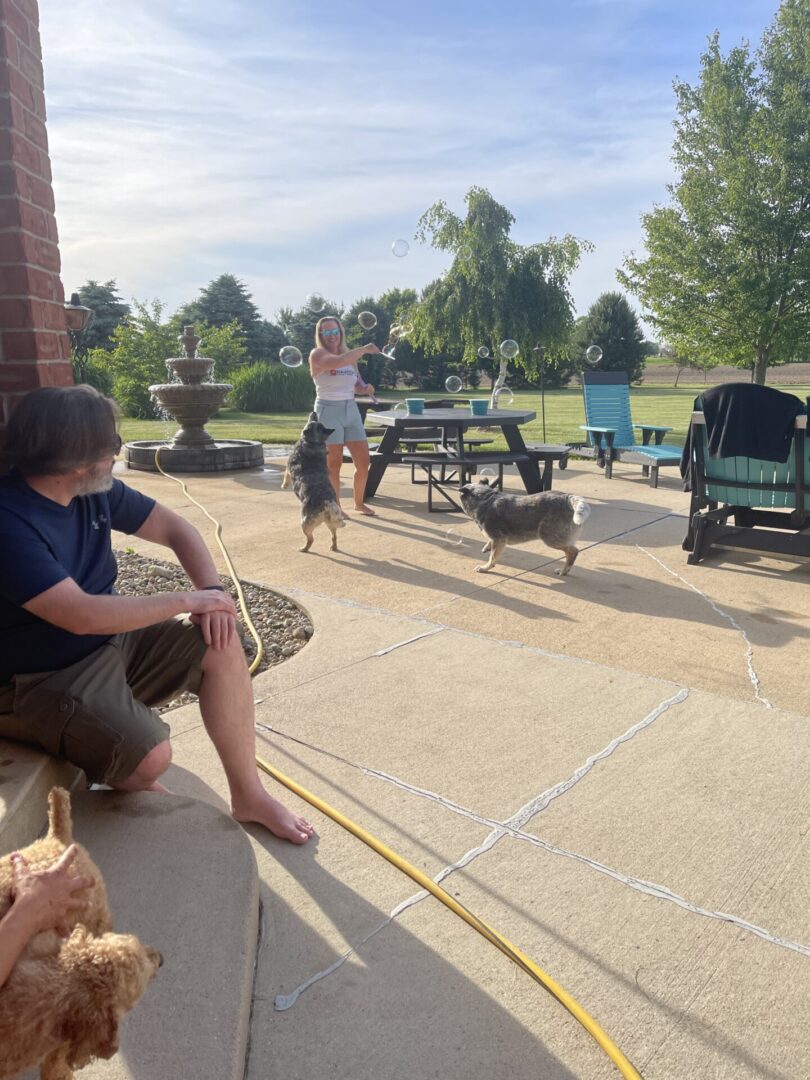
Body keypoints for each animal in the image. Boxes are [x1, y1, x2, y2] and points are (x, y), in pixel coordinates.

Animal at [282, 410, 345, 552]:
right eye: (316, 420)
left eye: (313, 423)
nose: (314, 411)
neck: (314, 444)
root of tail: (328, 502)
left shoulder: (288, 466)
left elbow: (285, 474)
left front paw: (284, 485)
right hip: (330, 524)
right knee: (334, 536)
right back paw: (333, 547)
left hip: (305, 524)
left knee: (311, 539)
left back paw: (304, 548)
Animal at [462, 483, 591, 578]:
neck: (485, 499)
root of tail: (568, 498)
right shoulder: (496, 540)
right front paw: (486, 547)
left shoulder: (499, 540)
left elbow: (492, 558)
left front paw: (485, 568)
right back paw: (565, 571)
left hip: (550, 539)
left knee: (573, 552)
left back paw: (564, 571)